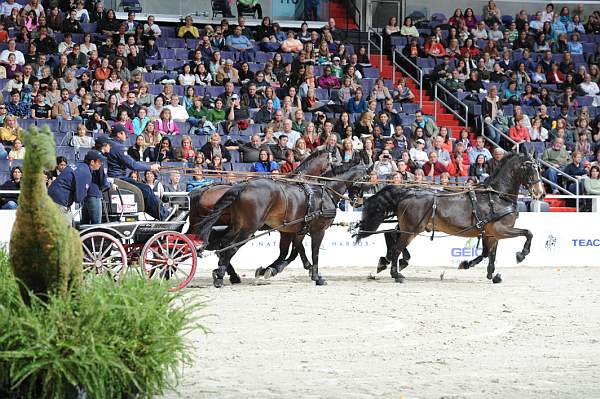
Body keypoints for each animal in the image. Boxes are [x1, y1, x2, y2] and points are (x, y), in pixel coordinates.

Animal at [195, 164, 370, 290]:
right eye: (367, 179)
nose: (357, 202)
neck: (323, 193)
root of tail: (243, 186)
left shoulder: (294, 231)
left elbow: (291, 253)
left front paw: (269, 269)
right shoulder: (317, 230)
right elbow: (313, 254)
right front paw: (317, 277)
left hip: (238, 225)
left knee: (222, 245)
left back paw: (223, 272)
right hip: (249, 227)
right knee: (231, 247)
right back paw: (220, 276)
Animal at [354, 152, 548, 284]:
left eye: (539, 169)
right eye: (530, 169)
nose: (540, 192)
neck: (497, 196)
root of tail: (407, 192)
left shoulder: (492, 233)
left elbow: (489, 253)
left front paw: (487, 273)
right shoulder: (502, 229)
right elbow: (528, 233)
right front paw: (521, 255)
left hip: (406, 227)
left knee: (391, 236)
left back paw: (387, 262)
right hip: (411, 229)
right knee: (396, 247)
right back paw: (397, 274)